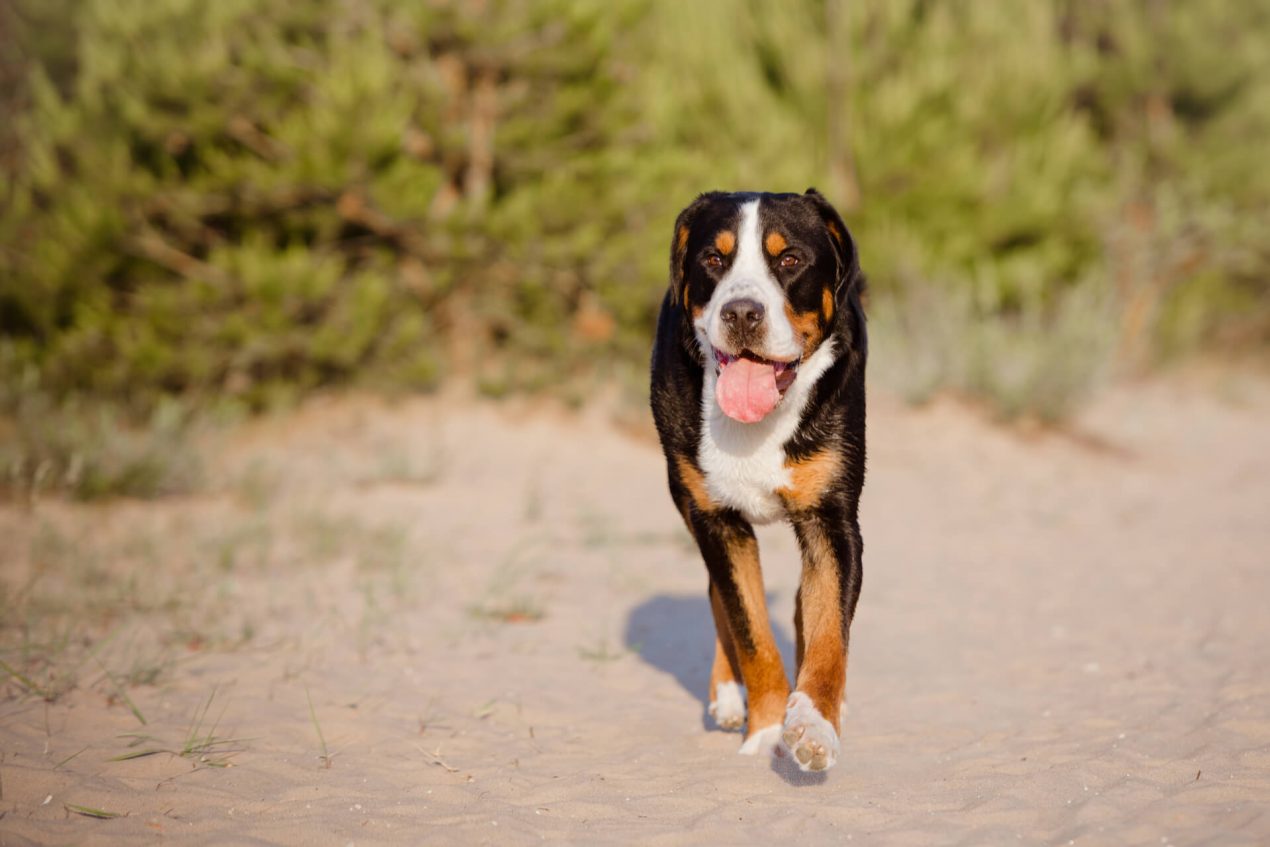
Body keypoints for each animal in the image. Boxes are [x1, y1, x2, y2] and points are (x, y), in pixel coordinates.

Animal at [650, 189, 868, 772]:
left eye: (789, 259)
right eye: (713, 258)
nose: (742, 312)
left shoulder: (832, 522)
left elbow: (828, 632)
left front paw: (814, 723)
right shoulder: (716, 520)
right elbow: (750, 632)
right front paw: (767, 729)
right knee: (718, 595)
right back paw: (726, 693)